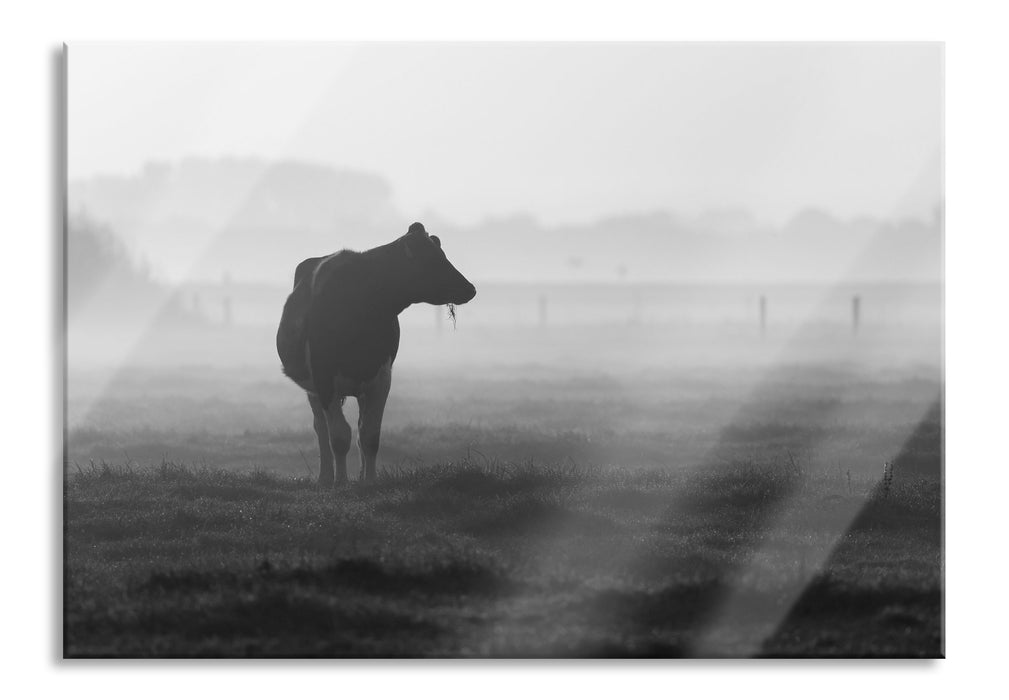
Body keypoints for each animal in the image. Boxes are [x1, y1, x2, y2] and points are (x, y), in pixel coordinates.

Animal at [276, 224, 476, 488]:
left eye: (442, 254)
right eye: (432, 259)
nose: (470, 289)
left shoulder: (381, 377)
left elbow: (370, 436)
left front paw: (369, 482)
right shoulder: (324, 378)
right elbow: (339, 436)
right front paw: (341, 482)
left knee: (359, 429)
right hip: (313, 390)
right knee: (321, 429)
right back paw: (326, 477)